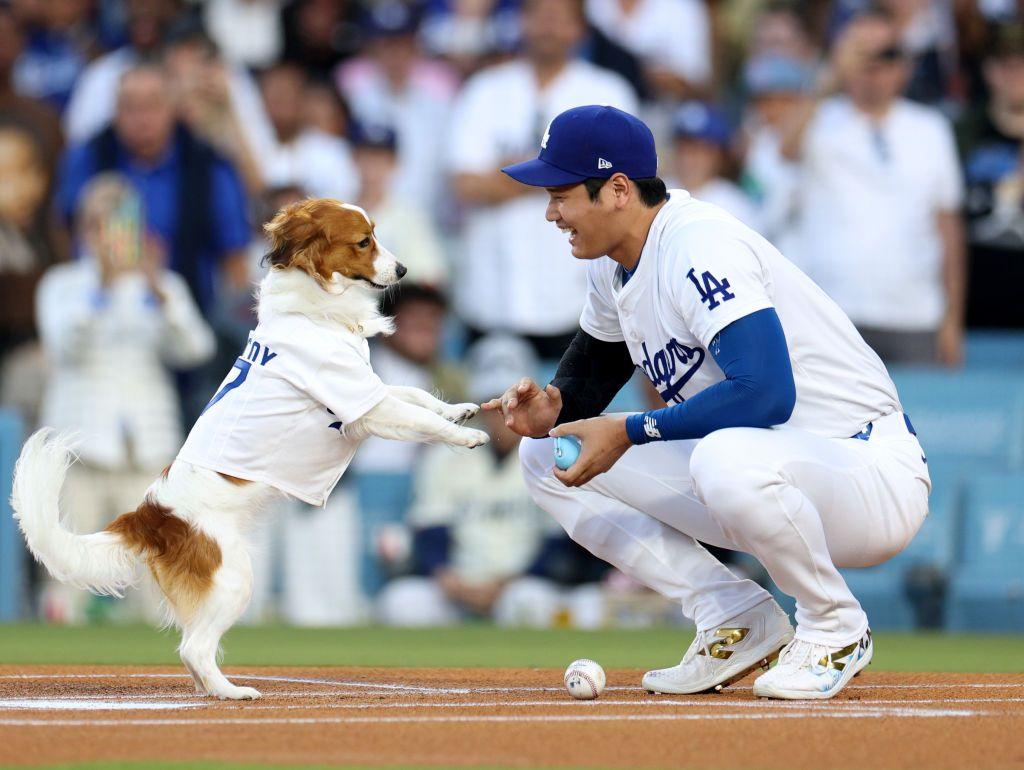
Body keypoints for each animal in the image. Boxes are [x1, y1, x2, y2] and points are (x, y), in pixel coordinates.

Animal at [12, 196, 489, 696]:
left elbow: (416, 395)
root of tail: (149, 516)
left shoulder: (369, 390)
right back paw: (231, 693)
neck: (314, 308)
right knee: (193, 648)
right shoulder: (363, 407)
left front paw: (460, 410)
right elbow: (418, 417)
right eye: (364, 242)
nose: (403, 269)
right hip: (233, 578)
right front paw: (466, 436)